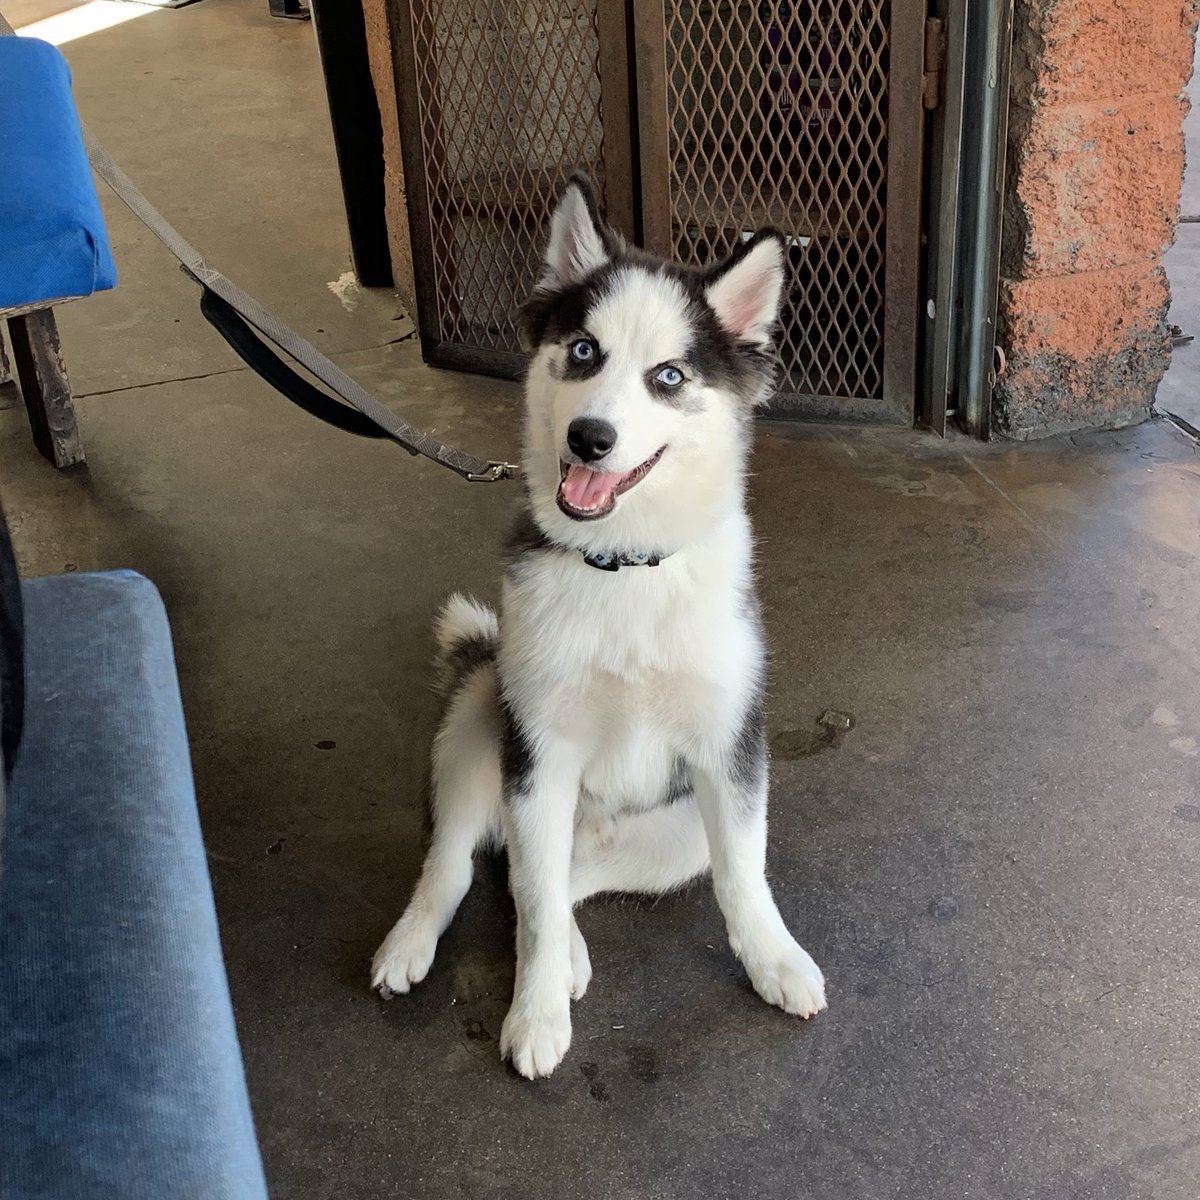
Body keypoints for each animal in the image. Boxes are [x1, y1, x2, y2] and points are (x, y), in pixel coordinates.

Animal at [372, 171, 825, 1080]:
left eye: (670, 376)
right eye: (583, 351)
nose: (589, 438)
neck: (626, 566)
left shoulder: (729, 747)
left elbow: (743, 876)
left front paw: (774, 959)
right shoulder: (539, 750)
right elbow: (530, 897)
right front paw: (536, 1013)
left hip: (672, 833)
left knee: (560, 877)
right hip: (484, 713)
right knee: (479, 867)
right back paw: (416, 944)